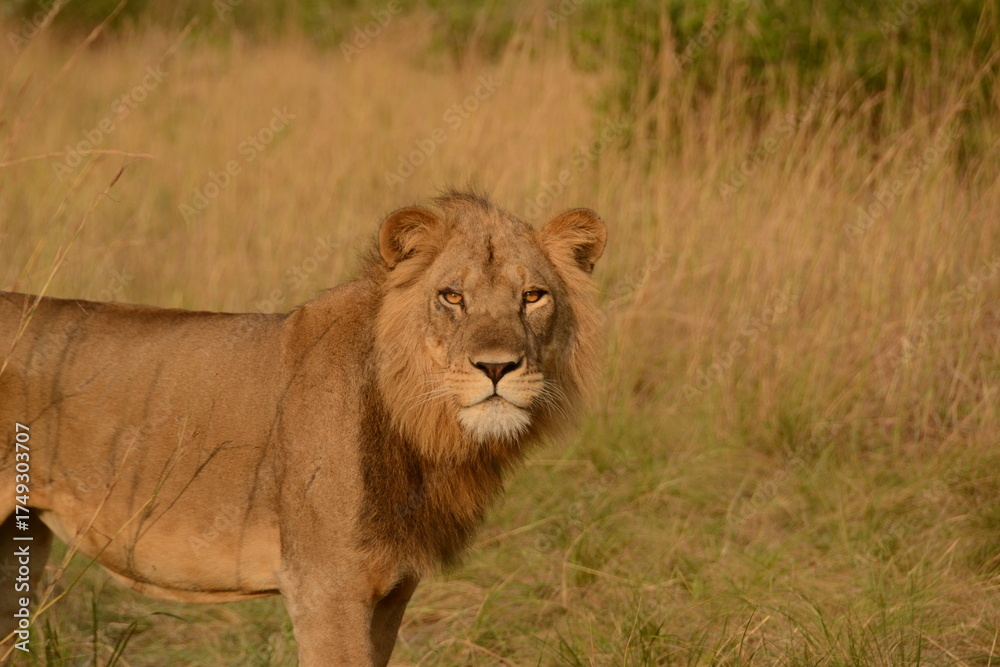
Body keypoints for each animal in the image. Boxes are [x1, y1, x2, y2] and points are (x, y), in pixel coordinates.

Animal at [0, 191, 605, 665]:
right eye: (452, 296)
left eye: (533, 296)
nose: (497, 367)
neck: (420, 428)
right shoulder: (325, 588)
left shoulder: (391, 591)